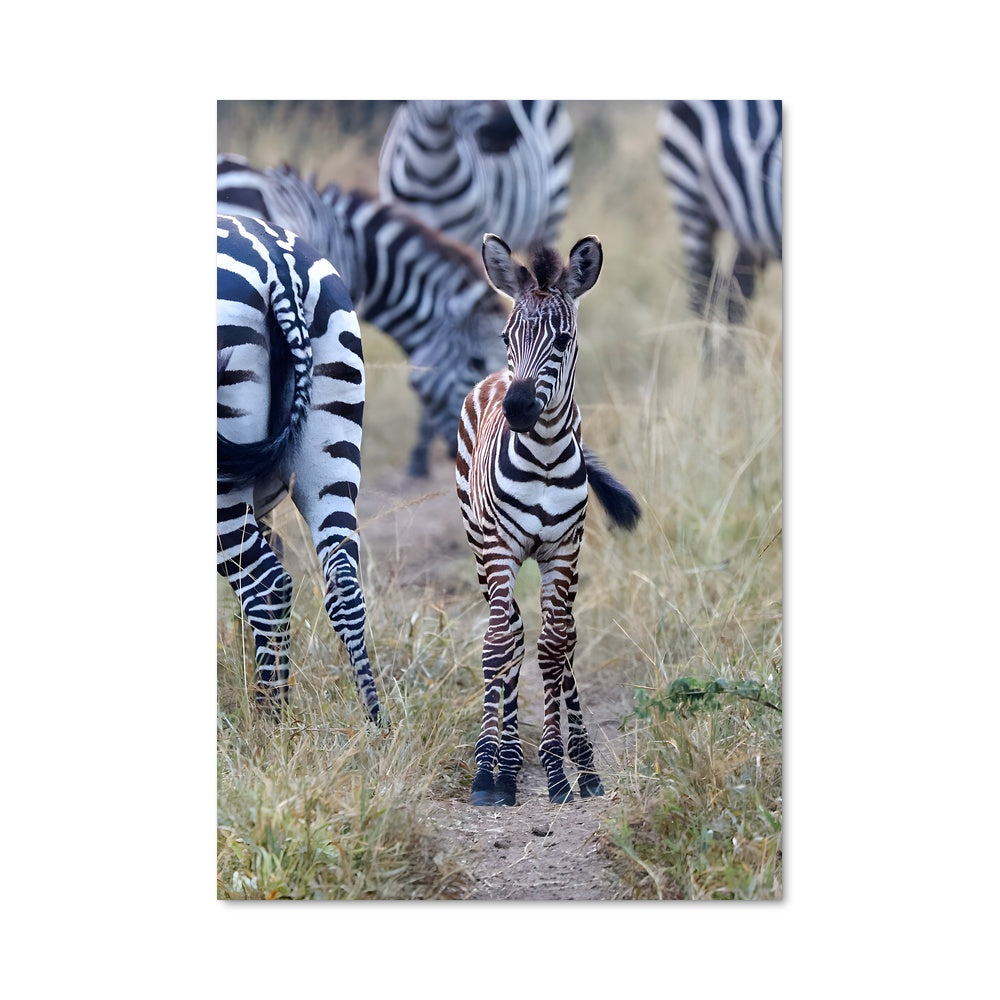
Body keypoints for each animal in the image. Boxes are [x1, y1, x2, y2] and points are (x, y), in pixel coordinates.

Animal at [217, 213, 381, 722]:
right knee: (344, 583)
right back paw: (373, 723)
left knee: (267, 586)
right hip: (330, 445)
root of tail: (276, 261)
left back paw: (269, 723)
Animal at [456, 233, 641, 806]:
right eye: (506, 335)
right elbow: (499, 646)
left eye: (562, 340)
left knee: (563, 638)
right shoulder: (501, 548)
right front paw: (488, 775)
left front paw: (561, 770)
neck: (540, 457)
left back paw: (582, 766)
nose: (517, 410)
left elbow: (555, 648)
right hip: (479, 546)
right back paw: (506, 764)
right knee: (512, 632)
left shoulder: (564, 550)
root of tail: (496, 378)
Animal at [658, 100, 782, 364]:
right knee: (702, 296)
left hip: (750, 234)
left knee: (734, 300)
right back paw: (712, 372)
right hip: (690, 201)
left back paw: (734, 371)